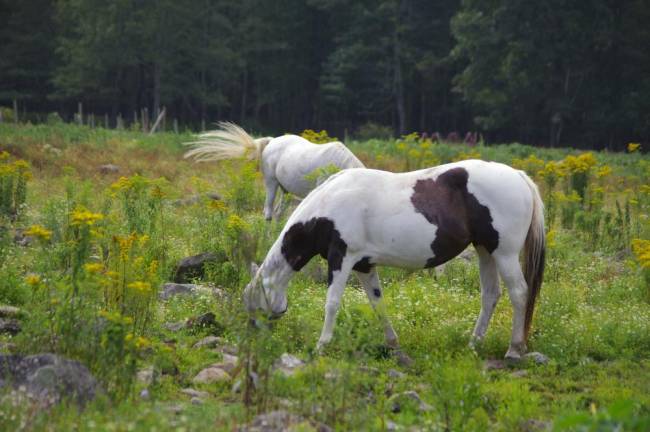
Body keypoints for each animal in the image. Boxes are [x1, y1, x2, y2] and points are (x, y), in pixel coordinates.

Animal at [243, 160, 540, 360]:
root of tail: (518, 176)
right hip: (485, 251)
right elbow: (378, 304)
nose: (255, 341)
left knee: (519, 293)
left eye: (255, 304)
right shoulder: (364, 265)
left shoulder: (342, 259)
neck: (328, 206)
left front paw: (321, 346)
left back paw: (514, 349)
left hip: (504, 254)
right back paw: (473, 344)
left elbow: (332, 303)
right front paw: (392, 344)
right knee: (490, 295)